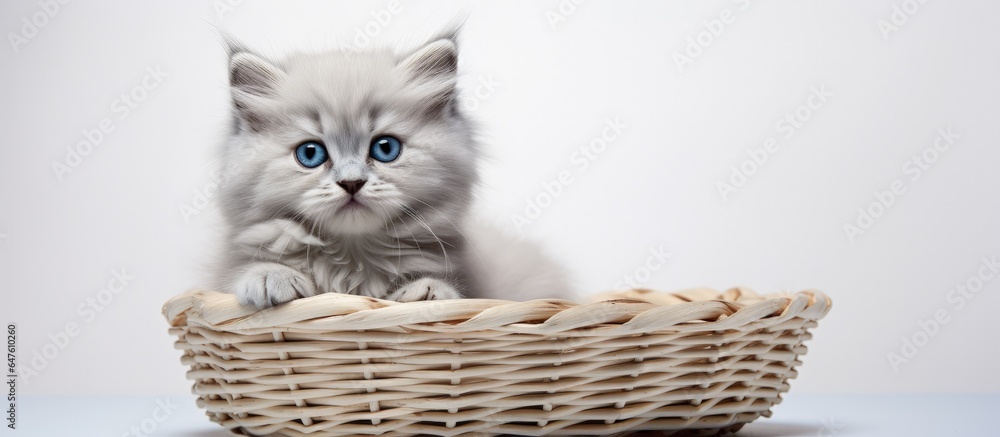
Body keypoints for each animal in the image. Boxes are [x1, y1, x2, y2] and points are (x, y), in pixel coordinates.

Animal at [211, 30, 572, 308]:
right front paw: (269, 276)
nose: (351, 183)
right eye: (310, 154)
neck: (353, 261)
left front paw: (427, 290)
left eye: (385, 149)